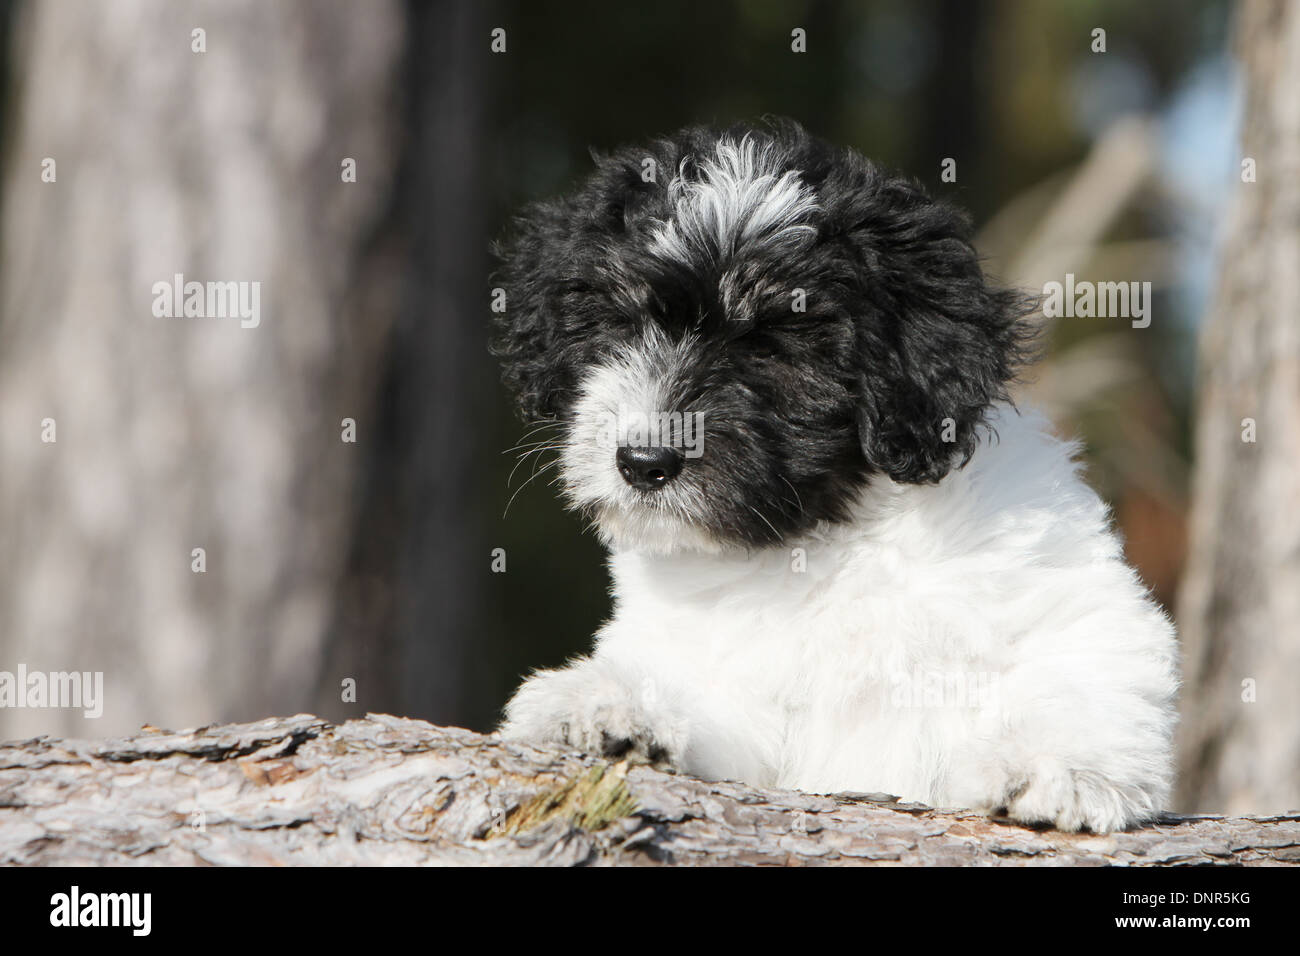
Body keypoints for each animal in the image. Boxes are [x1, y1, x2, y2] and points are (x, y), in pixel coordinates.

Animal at [488, 119, 1180, 832]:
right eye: (619, 324)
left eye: (774, 347)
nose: (644, 462)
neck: (824, 538)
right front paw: (606, 703)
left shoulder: (1053, 587)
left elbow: (1082, 657)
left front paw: (1063, 768)